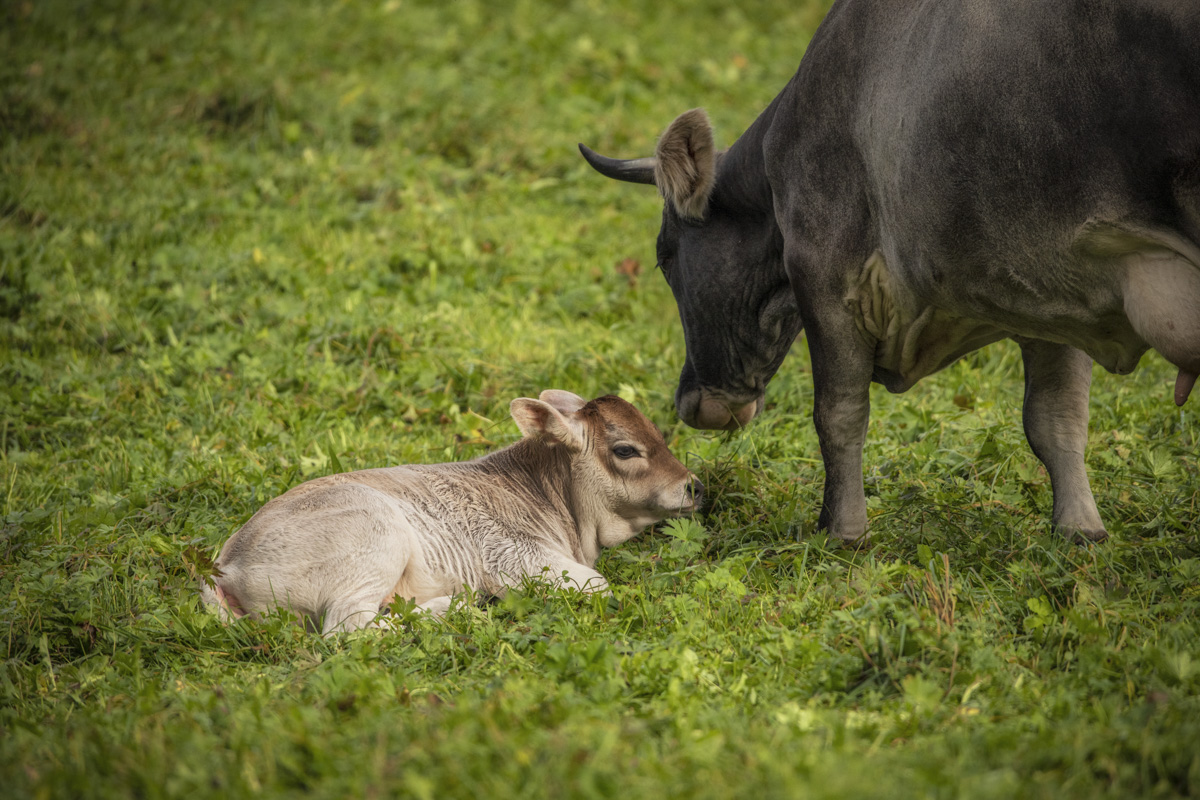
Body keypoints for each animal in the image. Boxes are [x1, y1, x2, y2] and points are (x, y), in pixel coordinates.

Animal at [200, 391, 702, 634]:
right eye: (626, 449)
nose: (693, 485)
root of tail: (224, 564)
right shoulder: (516, 558)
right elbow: (598, 585)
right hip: (374, 537)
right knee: (347, 629)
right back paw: (454, 607)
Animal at [580, 0, 1200, 544]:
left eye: (664, 256)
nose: (691, 401)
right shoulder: (1053, 288)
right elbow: (1057, 418)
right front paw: (1080, 530)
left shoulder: (827, 271)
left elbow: (839, 412)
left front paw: (842, 530)